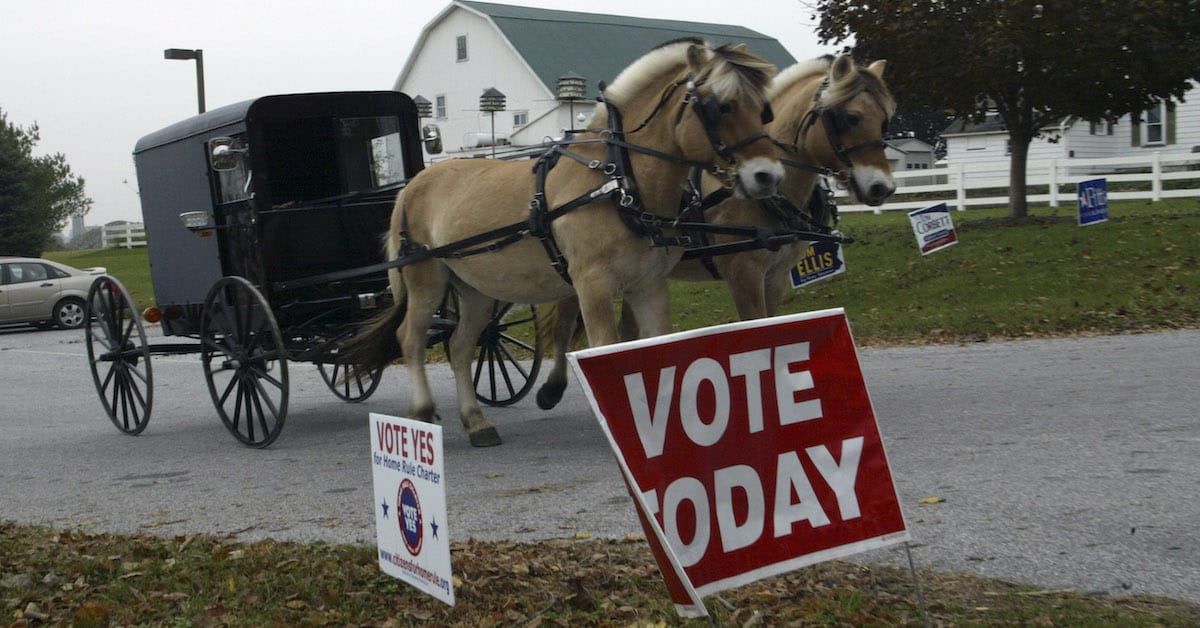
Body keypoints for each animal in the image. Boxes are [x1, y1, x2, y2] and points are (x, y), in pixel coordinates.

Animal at [340, 39, 787, 446]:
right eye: (720, 107)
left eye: (764, 109)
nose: (767, 176)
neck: (619, 181)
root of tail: (414, 184)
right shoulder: (592, 284)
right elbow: (606, 349)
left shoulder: (648, 285)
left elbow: (653, 348)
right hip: (426, 279)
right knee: (411, 340)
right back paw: (421, 410)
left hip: (475, 287)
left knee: (461, 346)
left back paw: (477, 422)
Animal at [532, 51, 892, 410]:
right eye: (850, 118)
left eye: (885, 120)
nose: (882, 188)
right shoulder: (742, 270)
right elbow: (754, 323)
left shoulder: (776, 276)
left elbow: (771, 324)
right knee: (564, 324)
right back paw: (553, 386)